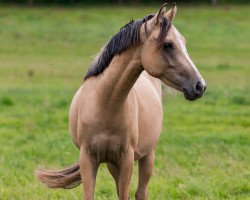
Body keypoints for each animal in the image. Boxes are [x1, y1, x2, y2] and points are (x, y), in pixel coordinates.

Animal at [36, 3, 206, 200]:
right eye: (168, 45)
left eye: (183, 43)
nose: (200, 85)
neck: (104, 104)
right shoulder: (88, 160)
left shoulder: (126, 160)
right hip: (111, 163)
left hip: (147, 155)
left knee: (141, 192)